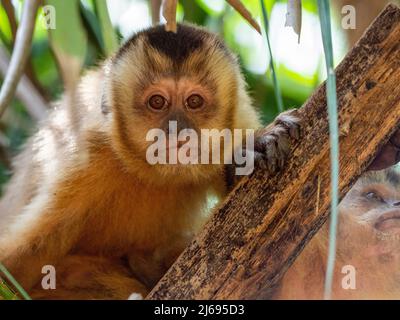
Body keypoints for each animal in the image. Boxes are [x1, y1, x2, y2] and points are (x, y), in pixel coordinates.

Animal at [0, 23, 300, 300]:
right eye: (157, 102)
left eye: (194, 101)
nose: (177, 131)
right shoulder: (86, 157)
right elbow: (24, 258)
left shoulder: (238, 122)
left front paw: (250, 152)